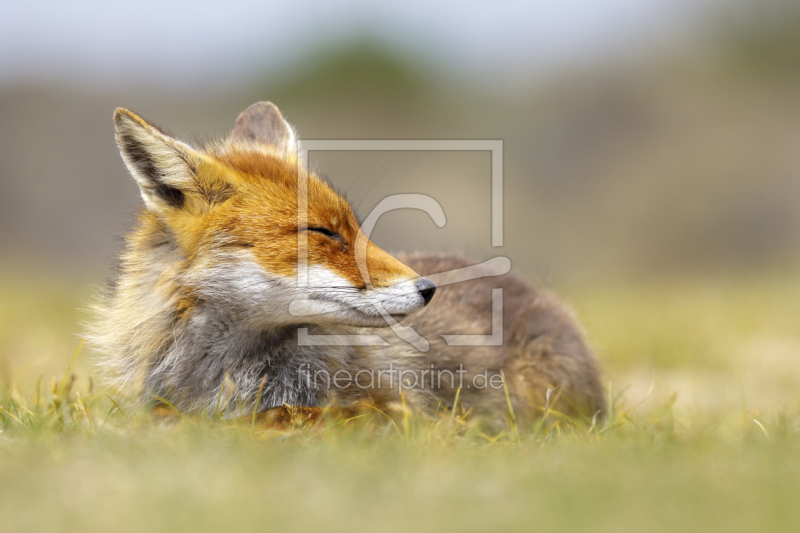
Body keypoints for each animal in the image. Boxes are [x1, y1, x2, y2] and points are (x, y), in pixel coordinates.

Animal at [90, 100, 604, 424]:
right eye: (324, 233)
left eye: (355, 228)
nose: (429, 289)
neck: (230, 373)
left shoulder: (398, 412)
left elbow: (285, 419)